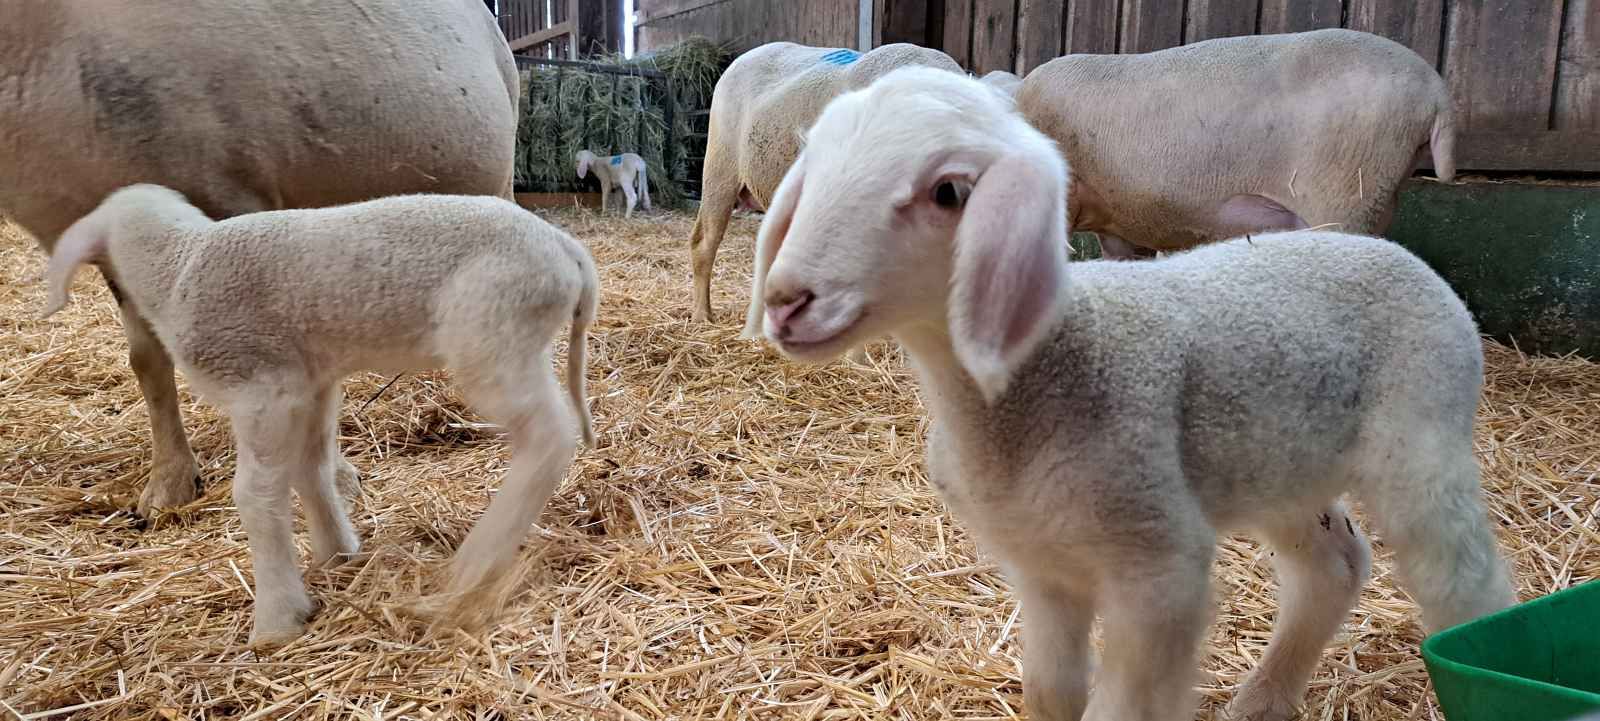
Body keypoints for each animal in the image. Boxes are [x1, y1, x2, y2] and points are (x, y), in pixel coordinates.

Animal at [46, 186, 604, 649]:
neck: (178, 264)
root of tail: (565, 249)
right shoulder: (312, 384)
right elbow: (310, 469)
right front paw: (337, 553)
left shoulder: (261, 386)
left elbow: (255, 496)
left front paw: (277, 619)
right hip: (512, 340)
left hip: (492, 334)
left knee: (549, 436)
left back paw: (476, 561)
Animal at [742, 64, 1516, 719]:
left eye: (947, 192)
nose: (787, 300)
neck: (1057, 367)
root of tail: (1394, 252)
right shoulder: (1042, 568)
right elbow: (1050, 690)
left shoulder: (1159, 568)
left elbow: (1124, 703)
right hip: (1281, 464)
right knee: (1335, 566)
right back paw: (1263, 698)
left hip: (1421, 439)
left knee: (1464, 576)